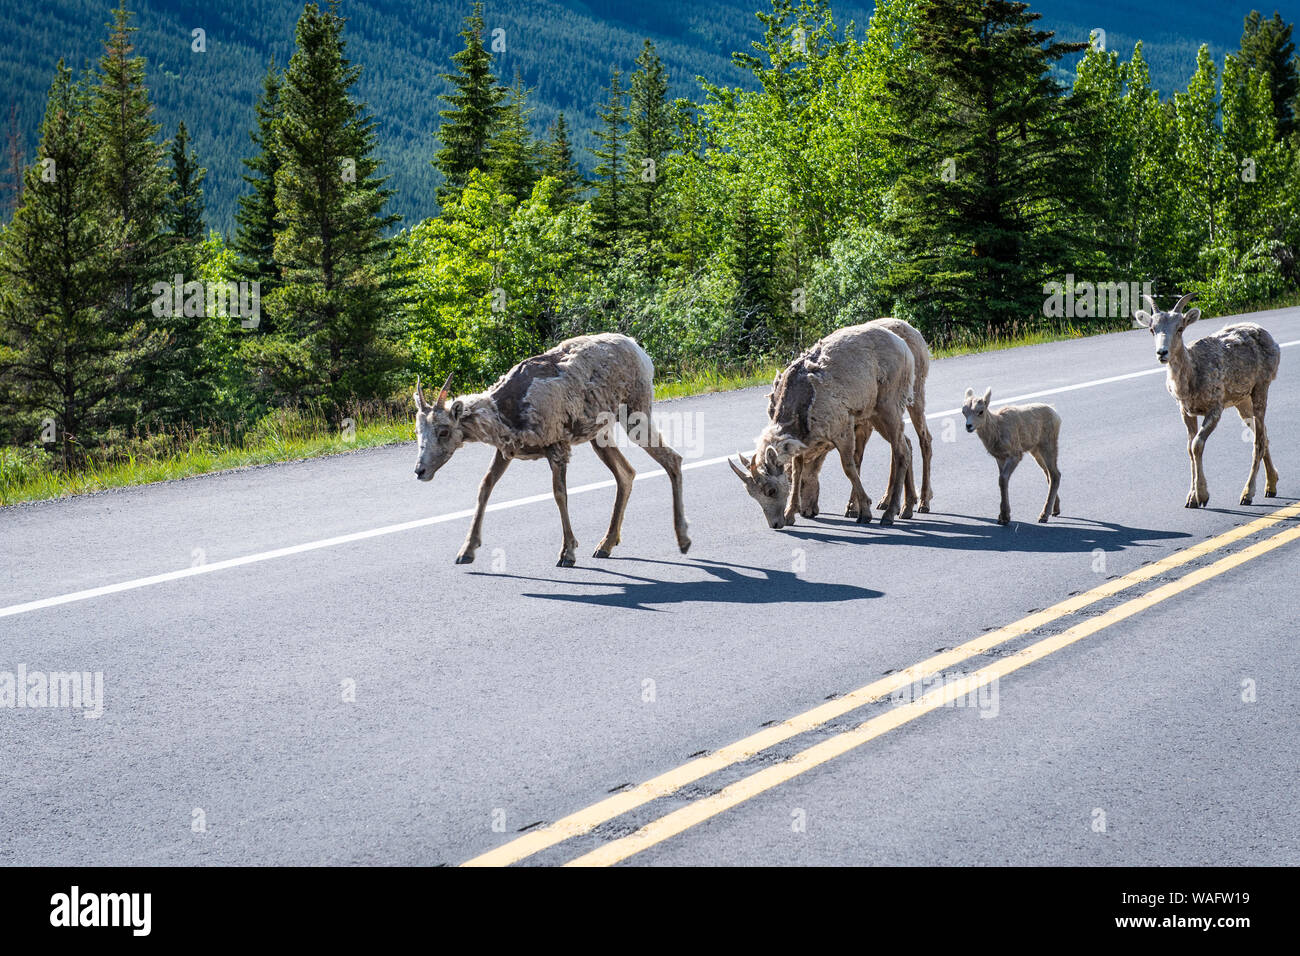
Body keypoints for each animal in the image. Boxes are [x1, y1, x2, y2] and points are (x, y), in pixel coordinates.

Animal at [412, 332, 690, 567]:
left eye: (444, 431)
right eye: (418, 432)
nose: (419, 471)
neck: (505, 412)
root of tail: (639, 350)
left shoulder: (556, 447)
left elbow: (559, 494)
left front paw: (567, 553)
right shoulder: (505, 452)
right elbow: (485, 488)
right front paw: (466, 552)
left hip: (635, 413)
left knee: (672, 459)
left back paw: (683, 540)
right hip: (599, 436)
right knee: (627, 474)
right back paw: (605, 546)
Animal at [729, 322, 914, 529]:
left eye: (771, 490)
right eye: (752, 494)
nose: (775, 524)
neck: (803, 402)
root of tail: (902, 345)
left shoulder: (842, 430)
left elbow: (849, 468)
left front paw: (864, 513)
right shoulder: (801, 443)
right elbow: (798, 470)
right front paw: (790, 514)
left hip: (888, 408)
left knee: (901, 452)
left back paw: (889, 515)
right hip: (875, 415)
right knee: (905, 446)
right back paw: (903, 509)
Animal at [789, 317, 934, 519]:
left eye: (800, 482)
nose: (806, 512)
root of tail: (915, 331)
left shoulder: (861, 426)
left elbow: (855, 461)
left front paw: (854, 508)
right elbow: (856, 461)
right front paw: (857, 506)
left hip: (914, 397)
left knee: (923, 439)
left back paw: (922, 502)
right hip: (886, 415)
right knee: (902, 445)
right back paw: (892, 502)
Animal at [961, 387, 1062, 525]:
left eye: (980, 411)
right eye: (963, 412)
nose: (969, 426)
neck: (997, 429)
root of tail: (1055, 414)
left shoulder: (1014, 456)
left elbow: (1003, 480)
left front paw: (1004, 517)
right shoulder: (1000, 458)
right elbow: (1002, 481)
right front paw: (1002, 517)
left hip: (1048, 447)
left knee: (1055, 475)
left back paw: (1043, 516)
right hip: (1036, 452)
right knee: (1049, 475)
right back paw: (1055, 510)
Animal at [1133, 292, 1281, 507]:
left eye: (1179, 328)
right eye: (1152, 330)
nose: (1162, 353)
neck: (1192, 376)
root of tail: (1271, 339)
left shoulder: (1215, 409)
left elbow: (1197, 446)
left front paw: (1202, 497)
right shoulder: (1186, 412)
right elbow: (1189, 449)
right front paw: (1191, 499)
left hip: (1261, 389)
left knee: (1259, 441)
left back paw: (1247, 494)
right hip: (1242, 401)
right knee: (1264, 436)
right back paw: (1271, 486)